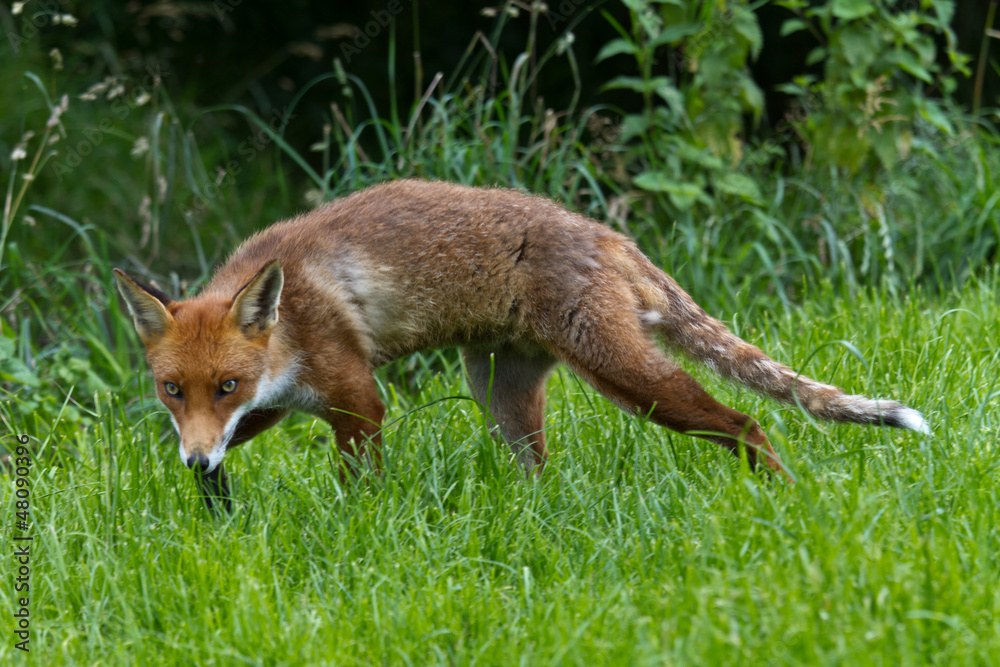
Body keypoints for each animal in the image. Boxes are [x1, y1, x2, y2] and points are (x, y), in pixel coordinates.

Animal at [115, 179, 928, 511]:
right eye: (172, 390)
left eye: (225, 384)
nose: (194, 459)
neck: (291, 325)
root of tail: (607, 234)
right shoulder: (277, 403)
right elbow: (229, 454)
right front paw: (214, 507)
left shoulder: (357, 400)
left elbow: (360, 488)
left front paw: (356, 531)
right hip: (501, 395)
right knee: (542, 474)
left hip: (628, 376)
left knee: (746, 421)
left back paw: (790, 502)